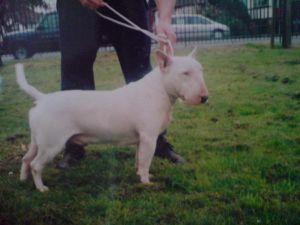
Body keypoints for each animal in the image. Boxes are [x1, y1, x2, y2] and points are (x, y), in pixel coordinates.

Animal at [15, 47, 209, 192]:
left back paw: (23, 180)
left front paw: (141, 175)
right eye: (185, 73)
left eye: (201, 70)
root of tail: (43, 98)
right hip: (52, 144)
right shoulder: (149, 137)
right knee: (35, 164)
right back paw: (41, 188)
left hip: (38, 141)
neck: (159, 89)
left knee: (26, 159)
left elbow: (139, 159)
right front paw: (146, 182)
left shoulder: (141, 139)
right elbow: (146, 161)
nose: (205, 97)